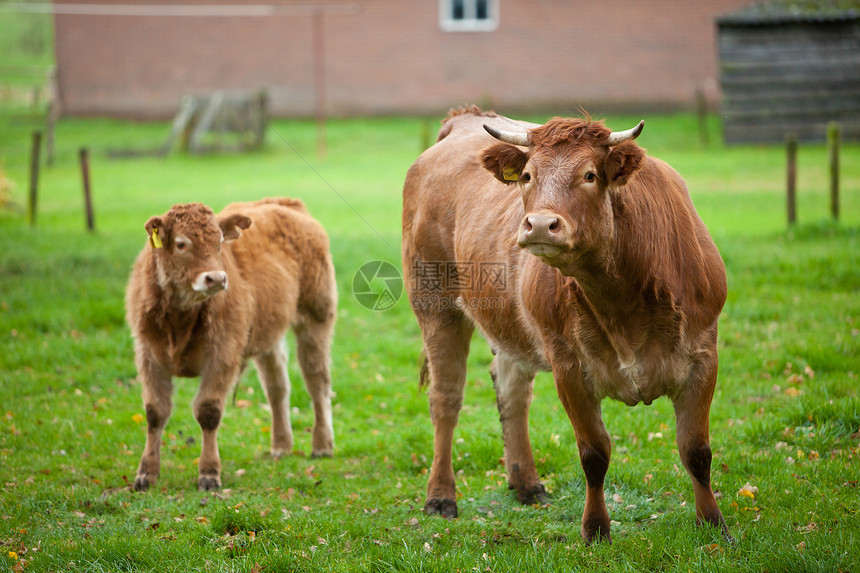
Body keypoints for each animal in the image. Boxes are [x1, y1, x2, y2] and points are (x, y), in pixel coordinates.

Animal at [127, 198, 336, 492]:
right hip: (268, 334)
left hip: (317, 317)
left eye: (219, 243)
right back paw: (281, 445)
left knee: (317, 382)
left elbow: (208, 410)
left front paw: (209, 473)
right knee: (277, 388)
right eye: (181, 243)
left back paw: (322, 445)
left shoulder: (223, 353)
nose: (216, 278)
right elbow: (155, 412)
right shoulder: (148, 354)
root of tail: (285, 203)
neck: (179, 319)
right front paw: (146, 473)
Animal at [402, 106, 724, 540]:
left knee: (511, 392)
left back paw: (527, 484)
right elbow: (594, 453)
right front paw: (596, 529)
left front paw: (714, 525)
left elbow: (696, 450)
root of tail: (464, 120)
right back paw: (440, 496)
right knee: (446, 399)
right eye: (527, 175)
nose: (539, 224)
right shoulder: (568, 366)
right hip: (437, 305)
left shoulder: (704, 355)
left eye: (589, 175)